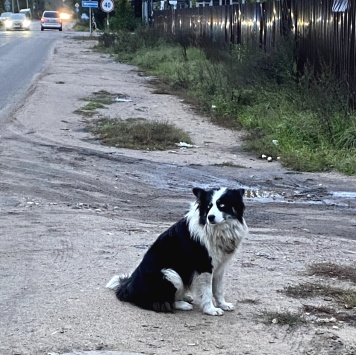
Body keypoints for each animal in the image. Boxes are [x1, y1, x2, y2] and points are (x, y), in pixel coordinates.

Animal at [107, 188, 249, 316]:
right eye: (209, 207)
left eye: (222, 206)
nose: (210, 217)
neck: (215, 230)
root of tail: (127, 288)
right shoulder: (204, 266)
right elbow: (208, 291)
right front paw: (211, 309)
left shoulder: (220, 267)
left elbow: (218, 289)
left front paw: (223, 305)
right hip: (171, 274)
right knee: (160, 302)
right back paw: (183, 304)